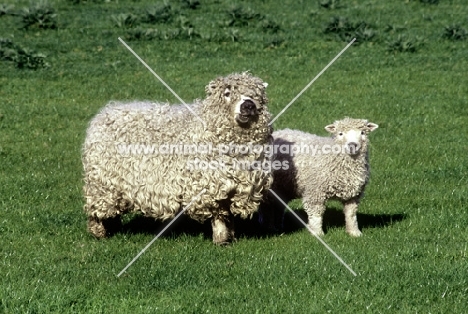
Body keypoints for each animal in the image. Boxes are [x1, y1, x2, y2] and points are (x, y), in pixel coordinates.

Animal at [82, 72, 272, 245]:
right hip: (102, 183)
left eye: (256, 96)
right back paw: (99, 233)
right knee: (96, 210)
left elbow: (228, 215)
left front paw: (229, 237)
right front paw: (221, 239)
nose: (248, 105)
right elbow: (219, 214)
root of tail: (105, 112)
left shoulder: (234, 187)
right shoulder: (209, 187)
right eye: (227, 93)